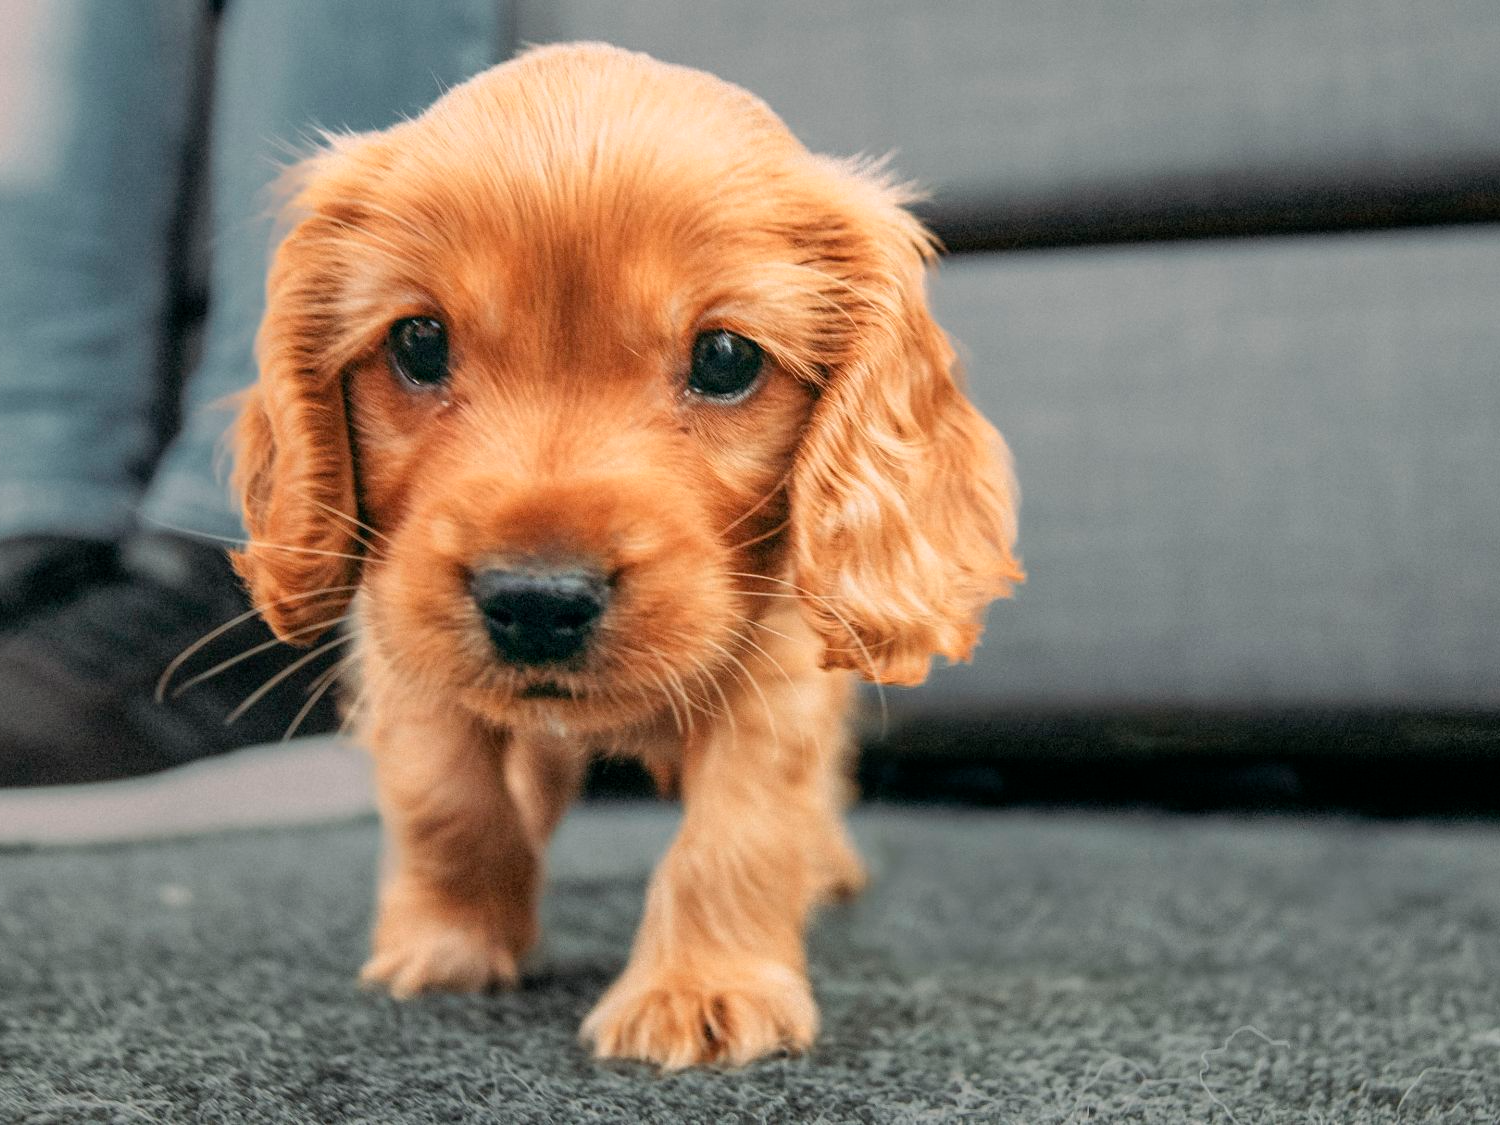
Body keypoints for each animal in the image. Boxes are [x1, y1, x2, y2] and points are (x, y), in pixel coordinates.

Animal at [234, 39, 1026, 1068]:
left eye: (726, 357)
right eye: (418, 340)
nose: (537, 601)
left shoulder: (778, 671)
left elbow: (737, 830)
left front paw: (703, 987)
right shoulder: (401, 645)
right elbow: (447, 795)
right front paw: (449, 941)